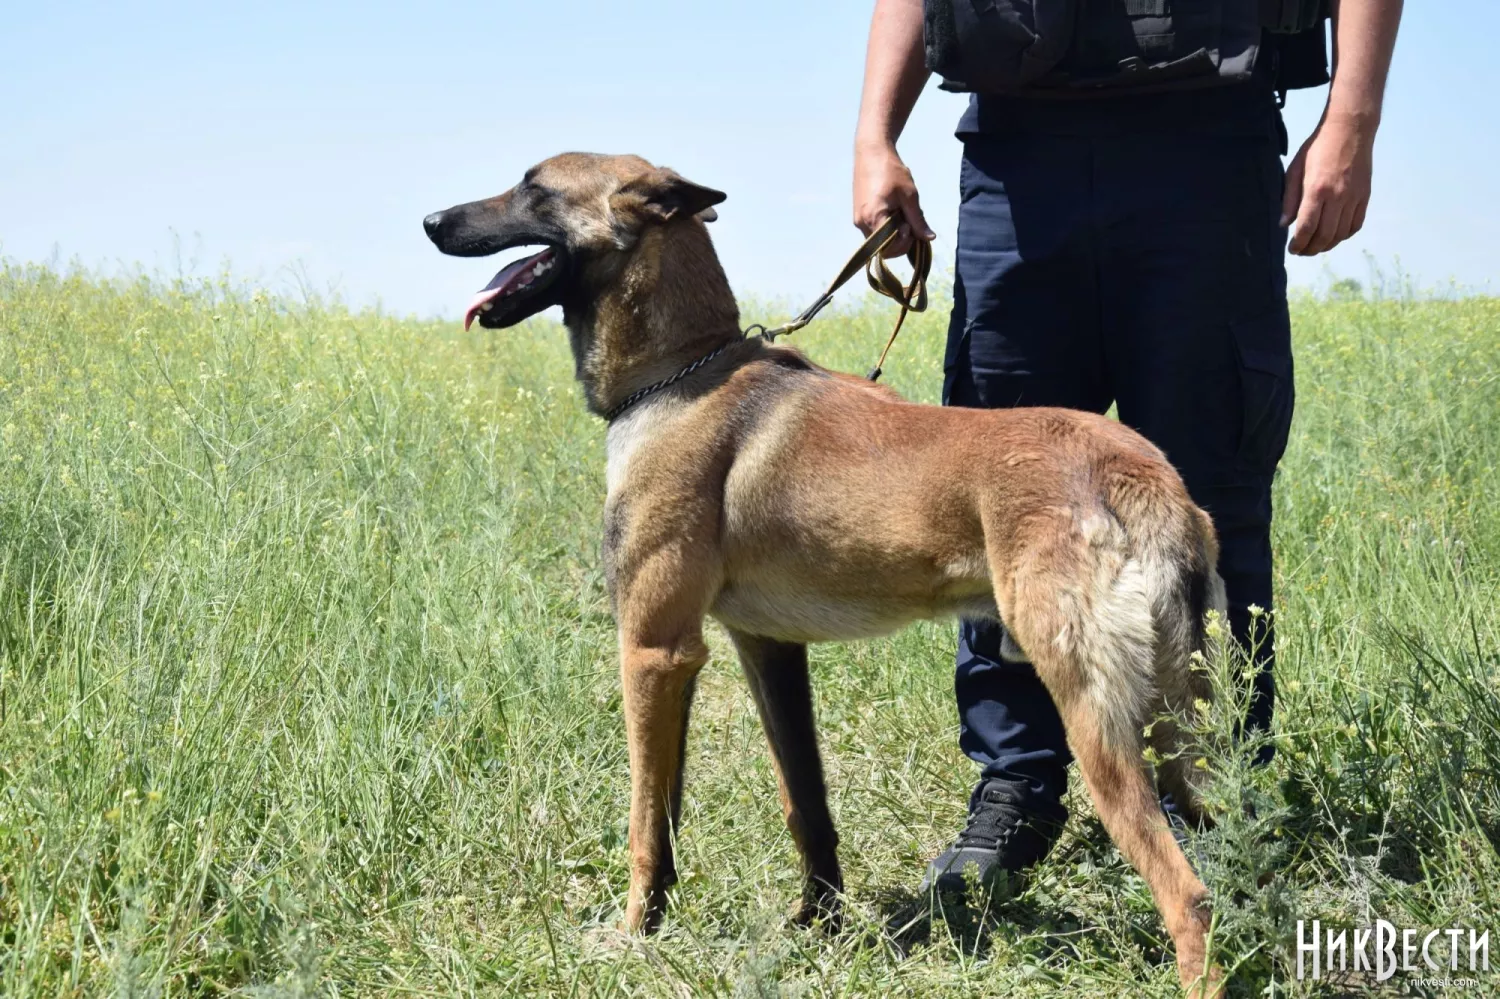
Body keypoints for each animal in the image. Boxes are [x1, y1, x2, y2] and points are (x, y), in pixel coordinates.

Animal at [423, 153, 1230, 990]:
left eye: (534, 188)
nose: (432, 223)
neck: (681, 371)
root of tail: (1144, 475)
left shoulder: (654, 650)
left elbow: (650, 819)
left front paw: (635, 932)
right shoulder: (765, 648)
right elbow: (802, 800)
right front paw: (818, 920)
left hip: (1099, 717)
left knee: (1189, 895)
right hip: (1183, 731)